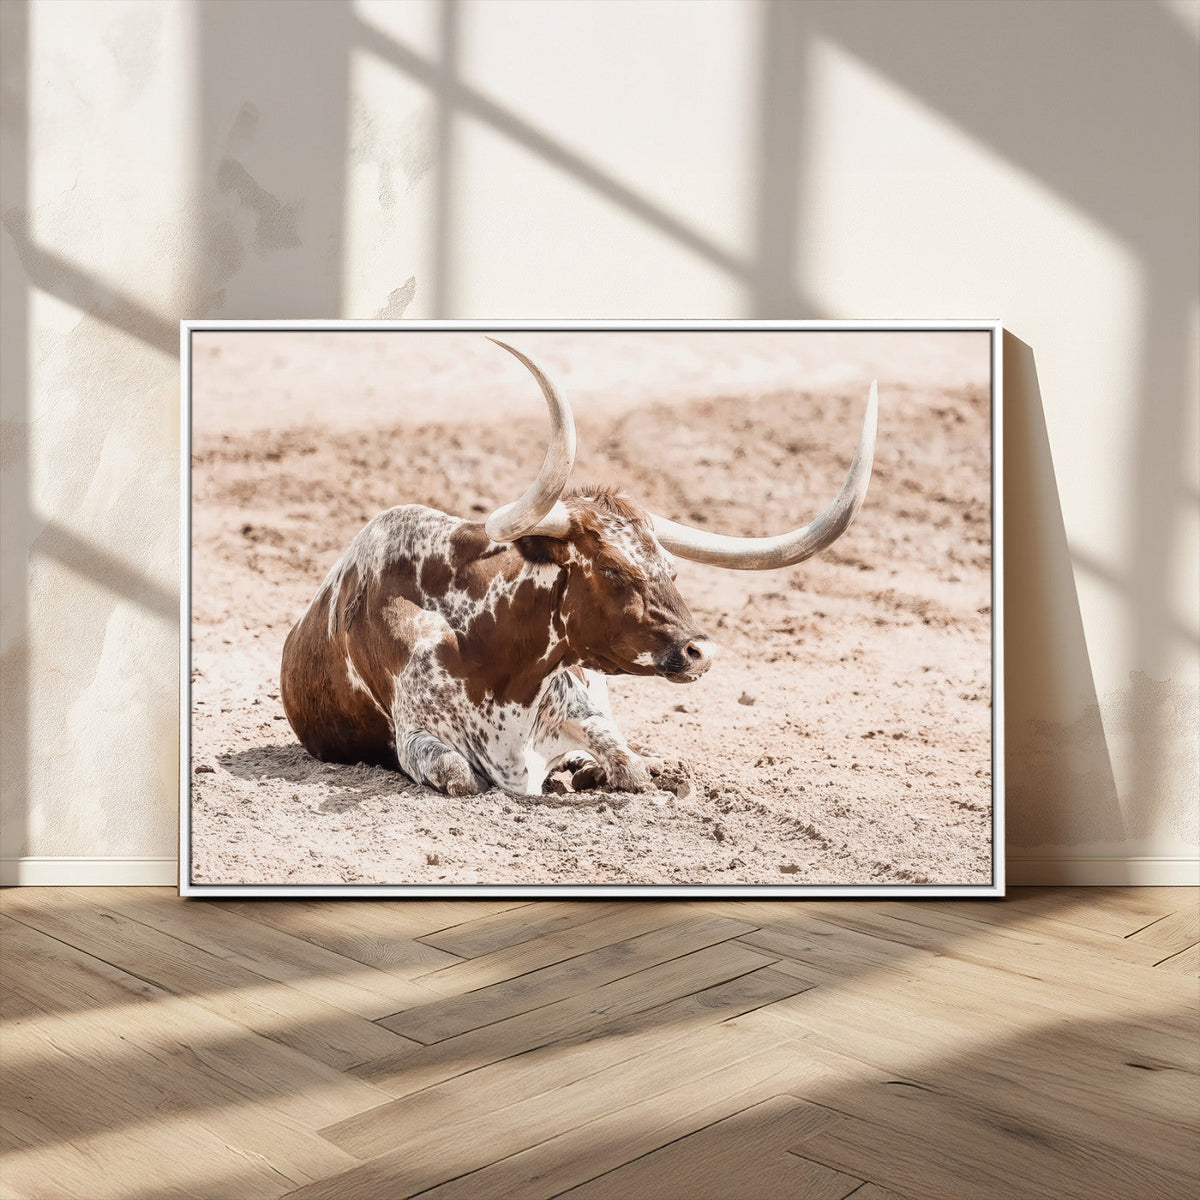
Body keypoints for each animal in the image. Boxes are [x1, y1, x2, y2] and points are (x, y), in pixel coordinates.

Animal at [280, 339, 877, 797]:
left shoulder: (584, 707)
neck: (492, 653)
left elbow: (628, 764)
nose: (700, 652)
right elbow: (461, 775)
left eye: (671, 570)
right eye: (612, 571)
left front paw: (623, 770)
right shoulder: (417, 740)